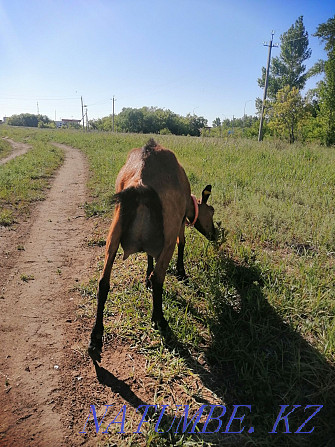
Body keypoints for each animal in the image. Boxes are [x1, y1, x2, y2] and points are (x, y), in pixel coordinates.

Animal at [88, 138, 217, 362]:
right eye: (212, 211)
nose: (215, 234)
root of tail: (141, 184)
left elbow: (148, 255)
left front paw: (146, 278)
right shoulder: (178, 223)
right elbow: (182, 243)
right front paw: (181, 273)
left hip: (114, 230)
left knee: (103, 282)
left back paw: (96, 336)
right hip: (168, 232)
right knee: (159, 277)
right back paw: (159, 319)